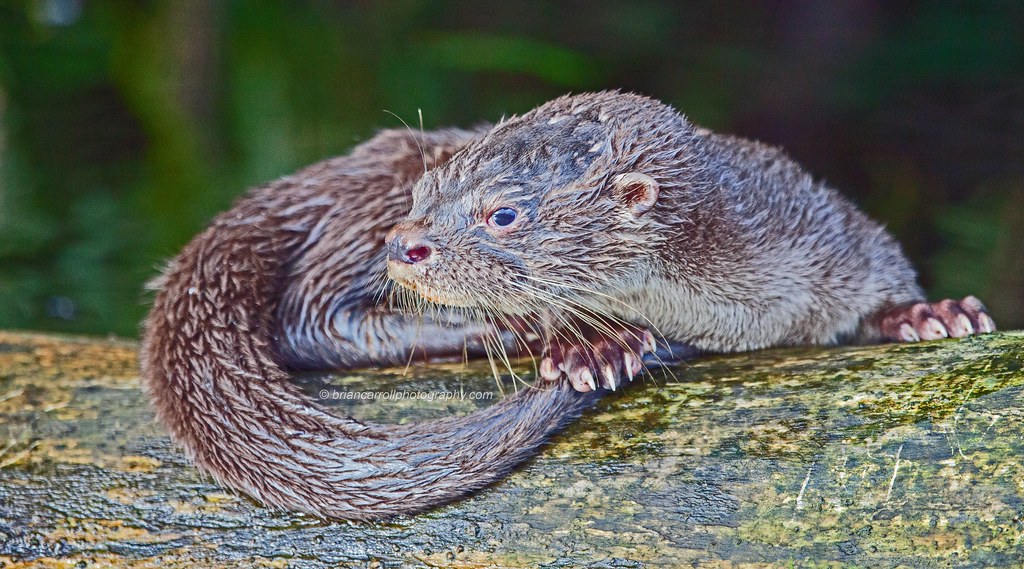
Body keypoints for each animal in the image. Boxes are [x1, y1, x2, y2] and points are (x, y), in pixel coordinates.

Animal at [141, 91, 995, 521]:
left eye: (503, 214)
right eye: (427, 193)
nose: (406, 241)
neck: (724, 305)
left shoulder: (818, 221)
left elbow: (881, 261)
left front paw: (926, 315)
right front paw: (588, 343)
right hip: (354, 219)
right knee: (308, 315)